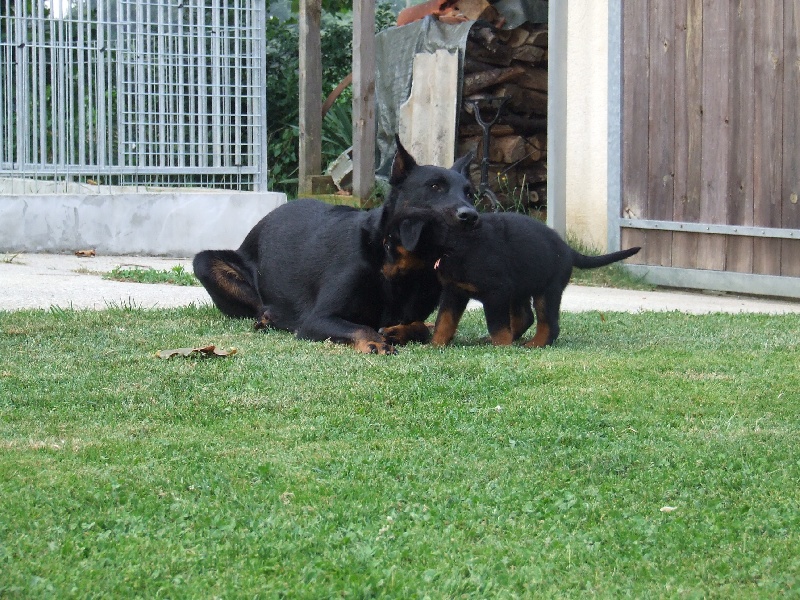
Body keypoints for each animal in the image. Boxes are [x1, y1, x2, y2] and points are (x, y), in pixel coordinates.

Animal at [192, 138, 482, 354]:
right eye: (435, 186)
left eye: (469, 193)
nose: (471, 216)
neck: (396, 264)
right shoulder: (318, 319)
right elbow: (361, 327)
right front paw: (375, 341)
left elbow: (420, 326)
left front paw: (396, 332)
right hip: (204, 263)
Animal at [384, 210, 640, 346]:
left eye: (389, 243)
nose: (383, 273)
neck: (452, 245)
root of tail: (568, 250)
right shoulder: (453, 292)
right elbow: (444, 322)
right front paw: (435, 345)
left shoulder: (496, 292)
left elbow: (497, 325)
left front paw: (502, 347)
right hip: (520, 288)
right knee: (525, 317)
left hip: (547, 290)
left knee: (548, 323)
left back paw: (534, 344)